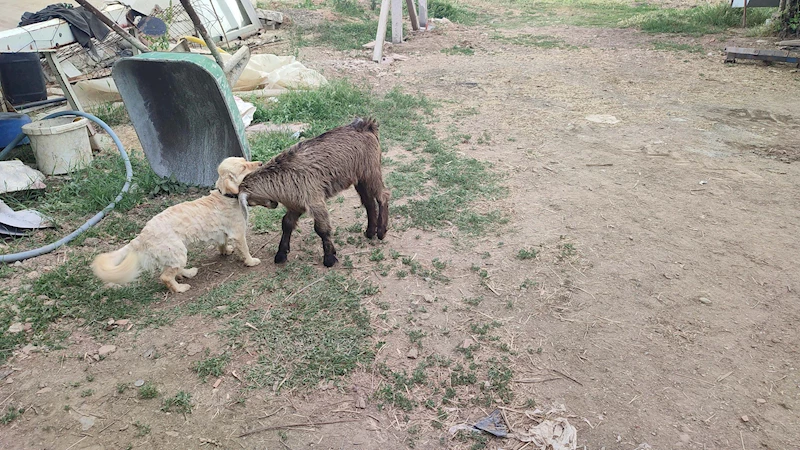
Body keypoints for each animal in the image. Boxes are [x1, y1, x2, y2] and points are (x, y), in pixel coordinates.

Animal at [92, 157, 262, 292]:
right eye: (243, 168)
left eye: (245, 161)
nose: (260, 163)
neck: (225, 196)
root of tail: (142, 235)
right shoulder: (238, 233)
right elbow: (245, 250)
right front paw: (251, 261)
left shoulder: (223, 232)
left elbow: (222, 243)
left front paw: (226, 251)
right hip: (177, 252)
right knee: (166, 277)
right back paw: (180, 288)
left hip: (176, 255)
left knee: (174, 270)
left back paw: (188, 273)